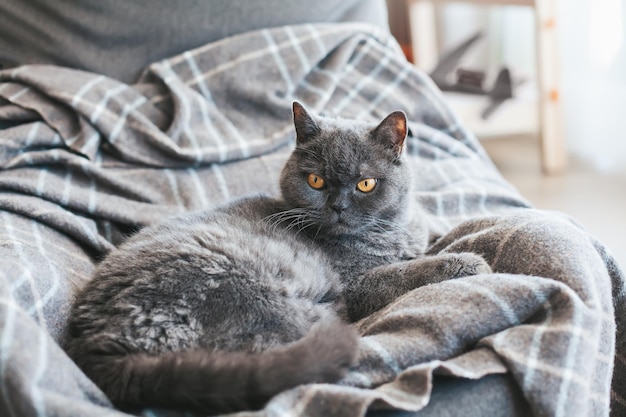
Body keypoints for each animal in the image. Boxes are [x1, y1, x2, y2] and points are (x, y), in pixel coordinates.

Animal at [64, 101, 492, 412]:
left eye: (366, 184)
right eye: (316, 180)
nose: (338, 207)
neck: (391, 230)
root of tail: (97, 350)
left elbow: (433, 239)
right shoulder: (358, 282)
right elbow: (406, 271)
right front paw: (468, 261)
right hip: (251, 289)